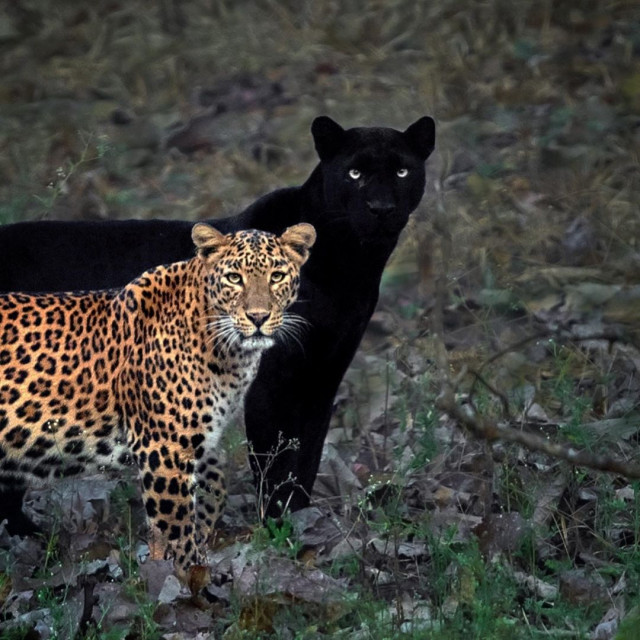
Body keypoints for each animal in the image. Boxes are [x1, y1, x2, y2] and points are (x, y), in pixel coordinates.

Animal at [0, 221, 316, 584]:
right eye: (234, 278)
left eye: (277, 276)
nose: (259, 317)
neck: (228, 352)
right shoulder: (164, 446)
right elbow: (175, 525)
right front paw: (191, 577)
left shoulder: (195, 437)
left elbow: (214, 488)